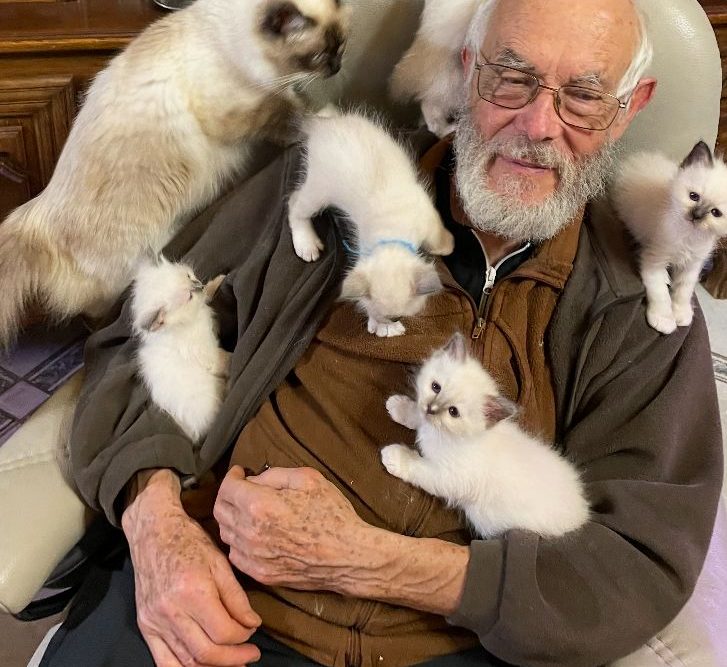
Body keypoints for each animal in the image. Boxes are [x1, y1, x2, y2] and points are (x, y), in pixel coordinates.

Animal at [0, 0, 350, 349]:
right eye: (319, 55)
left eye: (342, 47)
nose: (336, 68)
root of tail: (37, 217)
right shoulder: (244, 113)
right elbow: (293, 118)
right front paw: (327, 117)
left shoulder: (273, 94)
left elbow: (296, 105)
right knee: (98, 320)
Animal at [131, 258, 230, 441]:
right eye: (189, 296)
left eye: (190, 276)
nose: (199, 286)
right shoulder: (209, 354)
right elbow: (227, 359)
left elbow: (207, 295)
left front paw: (218, 281)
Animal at [287, 109, 454, 337]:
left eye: (399, 316)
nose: (392, 319)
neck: (394, 228)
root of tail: (320, 126)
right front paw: (383, 327)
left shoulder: (427, 214)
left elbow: (438, 236)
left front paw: (448, 245)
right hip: (320, 189)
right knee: (293, 202)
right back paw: (306, 244)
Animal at [381, 333, 589, 538]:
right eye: (435, 387)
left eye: (453, 412)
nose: (431, 409)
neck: (448, 435)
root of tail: (583, 512)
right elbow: (417, 416)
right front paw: (399, 407)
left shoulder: (449, 476)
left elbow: (418, 467)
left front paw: (393, 457)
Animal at [611, 140, 727, 334]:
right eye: (693, 196)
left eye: (715, 213)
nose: (696, 215)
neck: (688, 235)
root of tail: (640, 157)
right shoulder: (654, 260)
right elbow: (661, 293)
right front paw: (664, 320)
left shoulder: (693, 265)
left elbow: (683, 291)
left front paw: (681, 314)